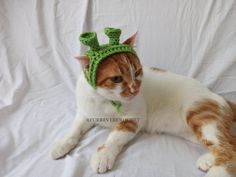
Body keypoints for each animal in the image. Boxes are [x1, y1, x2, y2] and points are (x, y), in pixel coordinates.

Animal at [50, 32, 236, 176]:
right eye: (116, 79)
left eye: (138, 72)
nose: (135, 89)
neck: (106, 100)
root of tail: (215, 95)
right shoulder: (85, 113)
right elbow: (74, 130)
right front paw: (62, 144)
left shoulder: (134, 119)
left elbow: (115, 137)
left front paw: (104, 155)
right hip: (195, 131)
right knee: (229, 143)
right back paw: (208, 159)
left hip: (199, 116)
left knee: (228, 150)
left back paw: (215, 172)